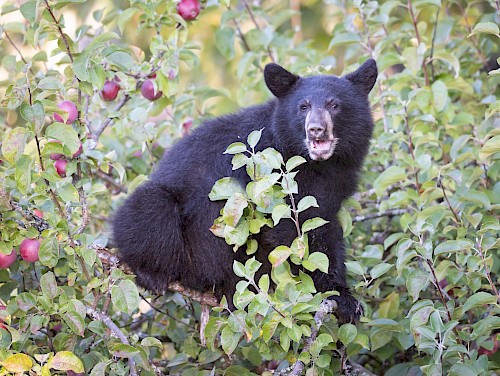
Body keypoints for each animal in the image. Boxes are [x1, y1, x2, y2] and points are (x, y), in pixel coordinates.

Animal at [113, 59, 376, 324]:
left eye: (335, 105)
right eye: (303, 106)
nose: (316, 129)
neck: (318, 165)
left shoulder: (334, 186)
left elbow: (325, 229)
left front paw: (346, 300)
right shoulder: (271, 174)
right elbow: (289, 232)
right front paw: (324, 290)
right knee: (149, 205)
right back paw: (151, 273)